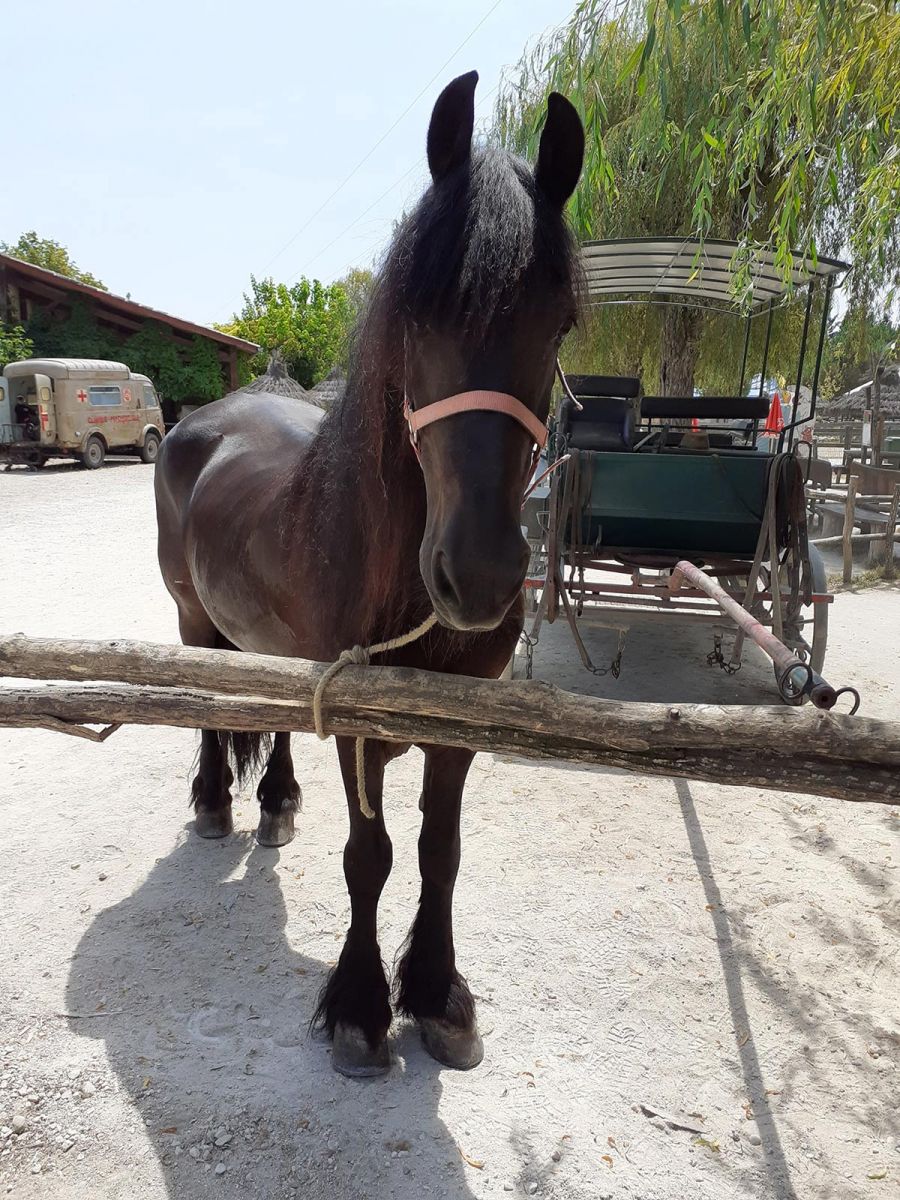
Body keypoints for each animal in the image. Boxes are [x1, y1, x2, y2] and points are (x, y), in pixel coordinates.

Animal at [154, 68, 585, 1080]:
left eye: (560, 324)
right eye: (418, 318)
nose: (480, 575)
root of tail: (206, 418)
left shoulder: (460, 726)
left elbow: (439, 853)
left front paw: (436, 995)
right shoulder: (356, 723)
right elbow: (371, 858)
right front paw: (358, 1008)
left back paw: (275, 802)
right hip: (194, 620)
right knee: (209, 713)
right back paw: (215, 805)